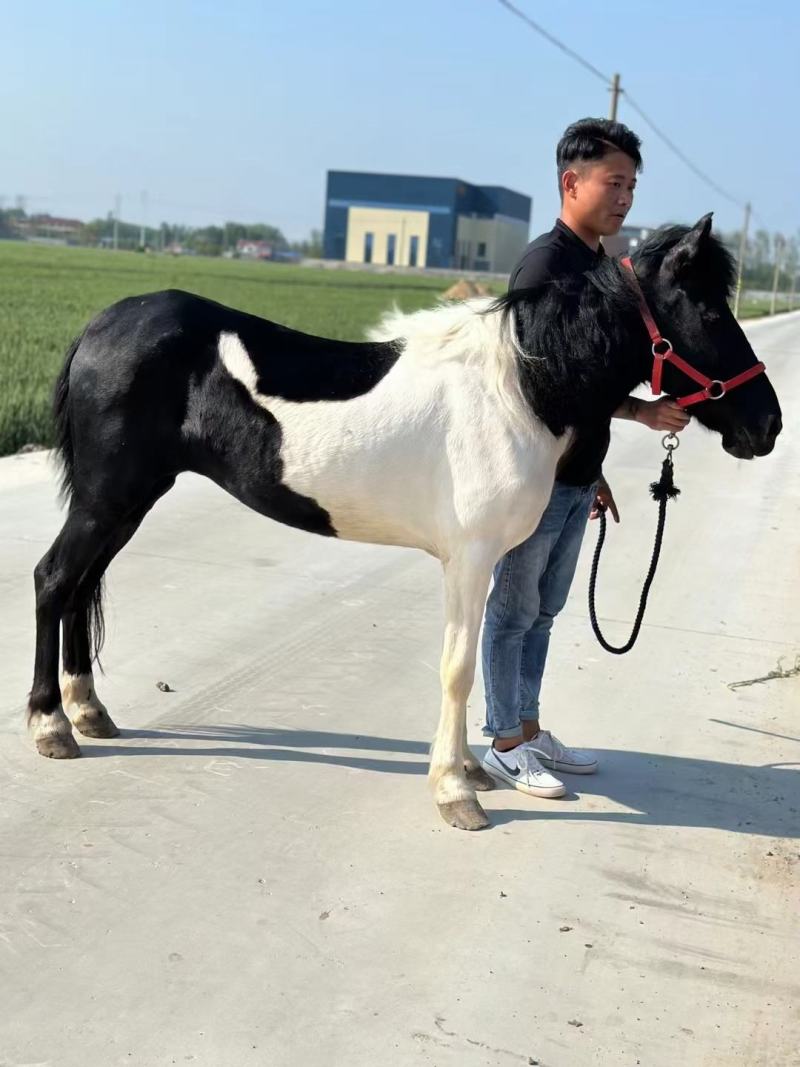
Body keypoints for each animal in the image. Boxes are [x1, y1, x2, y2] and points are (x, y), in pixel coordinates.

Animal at [26, 214, 782, 831]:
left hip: (127, 501)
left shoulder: (484, 559)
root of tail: (101, 325)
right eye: (709, 311)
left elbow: (471, 662)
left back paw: (89, 711)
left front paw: (471, 768)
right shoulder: (471, 557)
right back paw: (50, 724)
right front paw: (456, 790)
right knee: (54, 580)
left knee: (82, 585)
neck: (519, 389)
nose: (768, 425)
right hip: (108, 498)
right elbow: (459, 667)